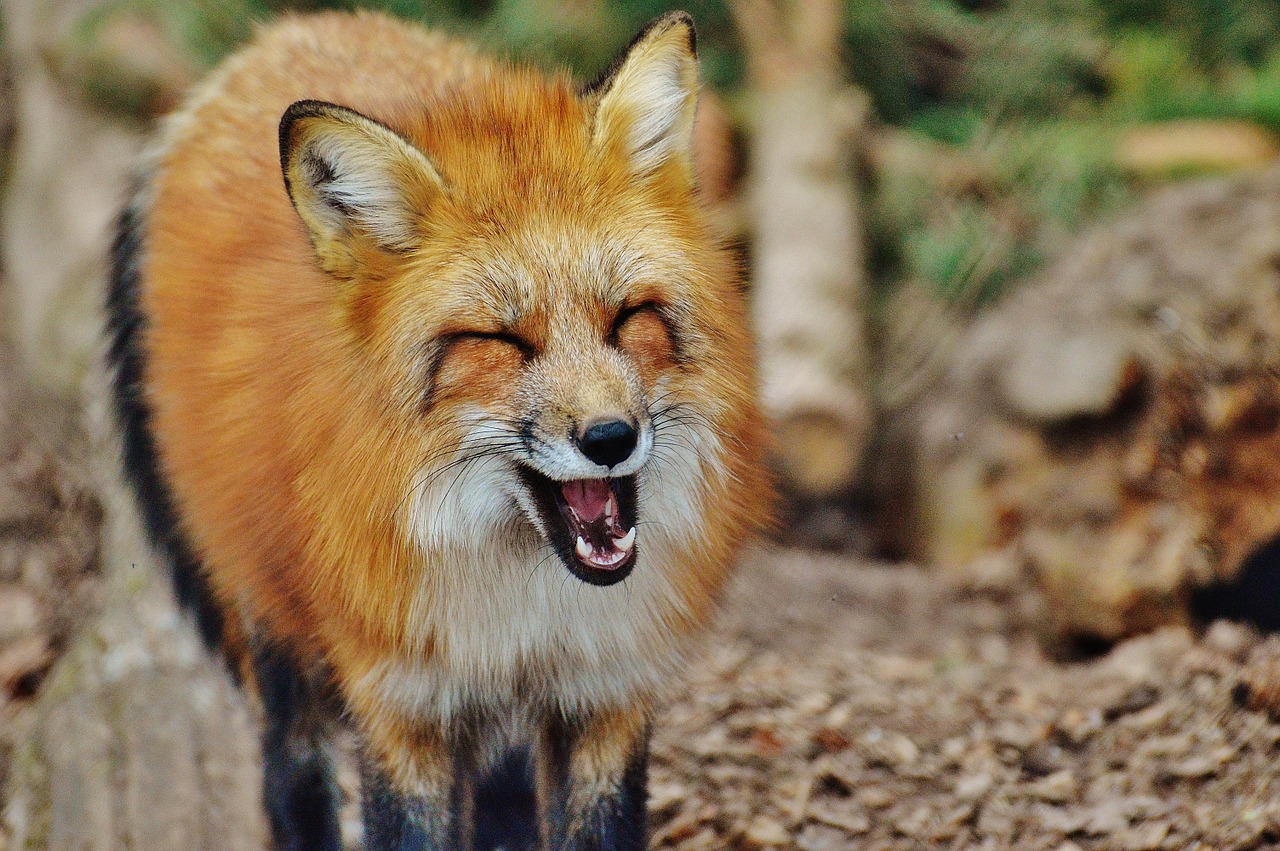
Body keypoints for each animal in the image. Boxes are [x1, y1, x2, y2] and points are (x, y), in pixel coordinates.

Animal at [104, 8, 762, 849]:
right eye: (501, 341)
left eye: (628, 317)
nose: (611, 439)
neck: (522, 606)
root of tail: (282, 34)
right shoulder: (402, 704)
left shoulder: (603, 692)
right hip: (276, 637)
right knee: (291, 779)